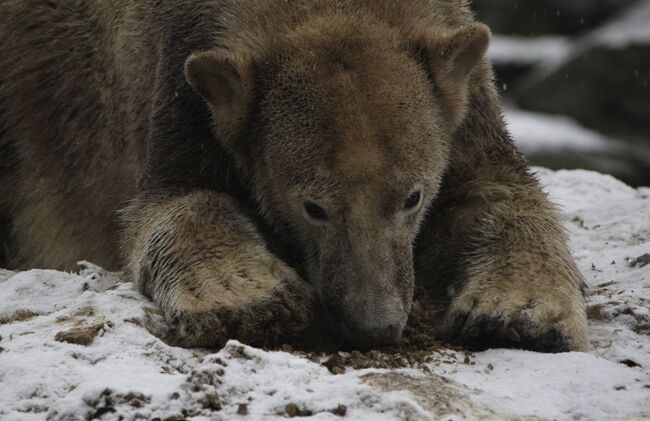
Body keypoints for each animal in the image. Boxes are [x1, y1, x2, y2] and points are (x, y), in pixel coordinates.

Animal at [0, 0, 588, 352]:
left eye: (413, 197)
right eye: (314, 207)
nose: (375, 324)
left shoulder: (466, 103)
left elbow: (497, 191)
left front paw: (519, 312)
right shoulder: (180, 86)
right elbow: (172, 201)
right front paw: (249, 295)